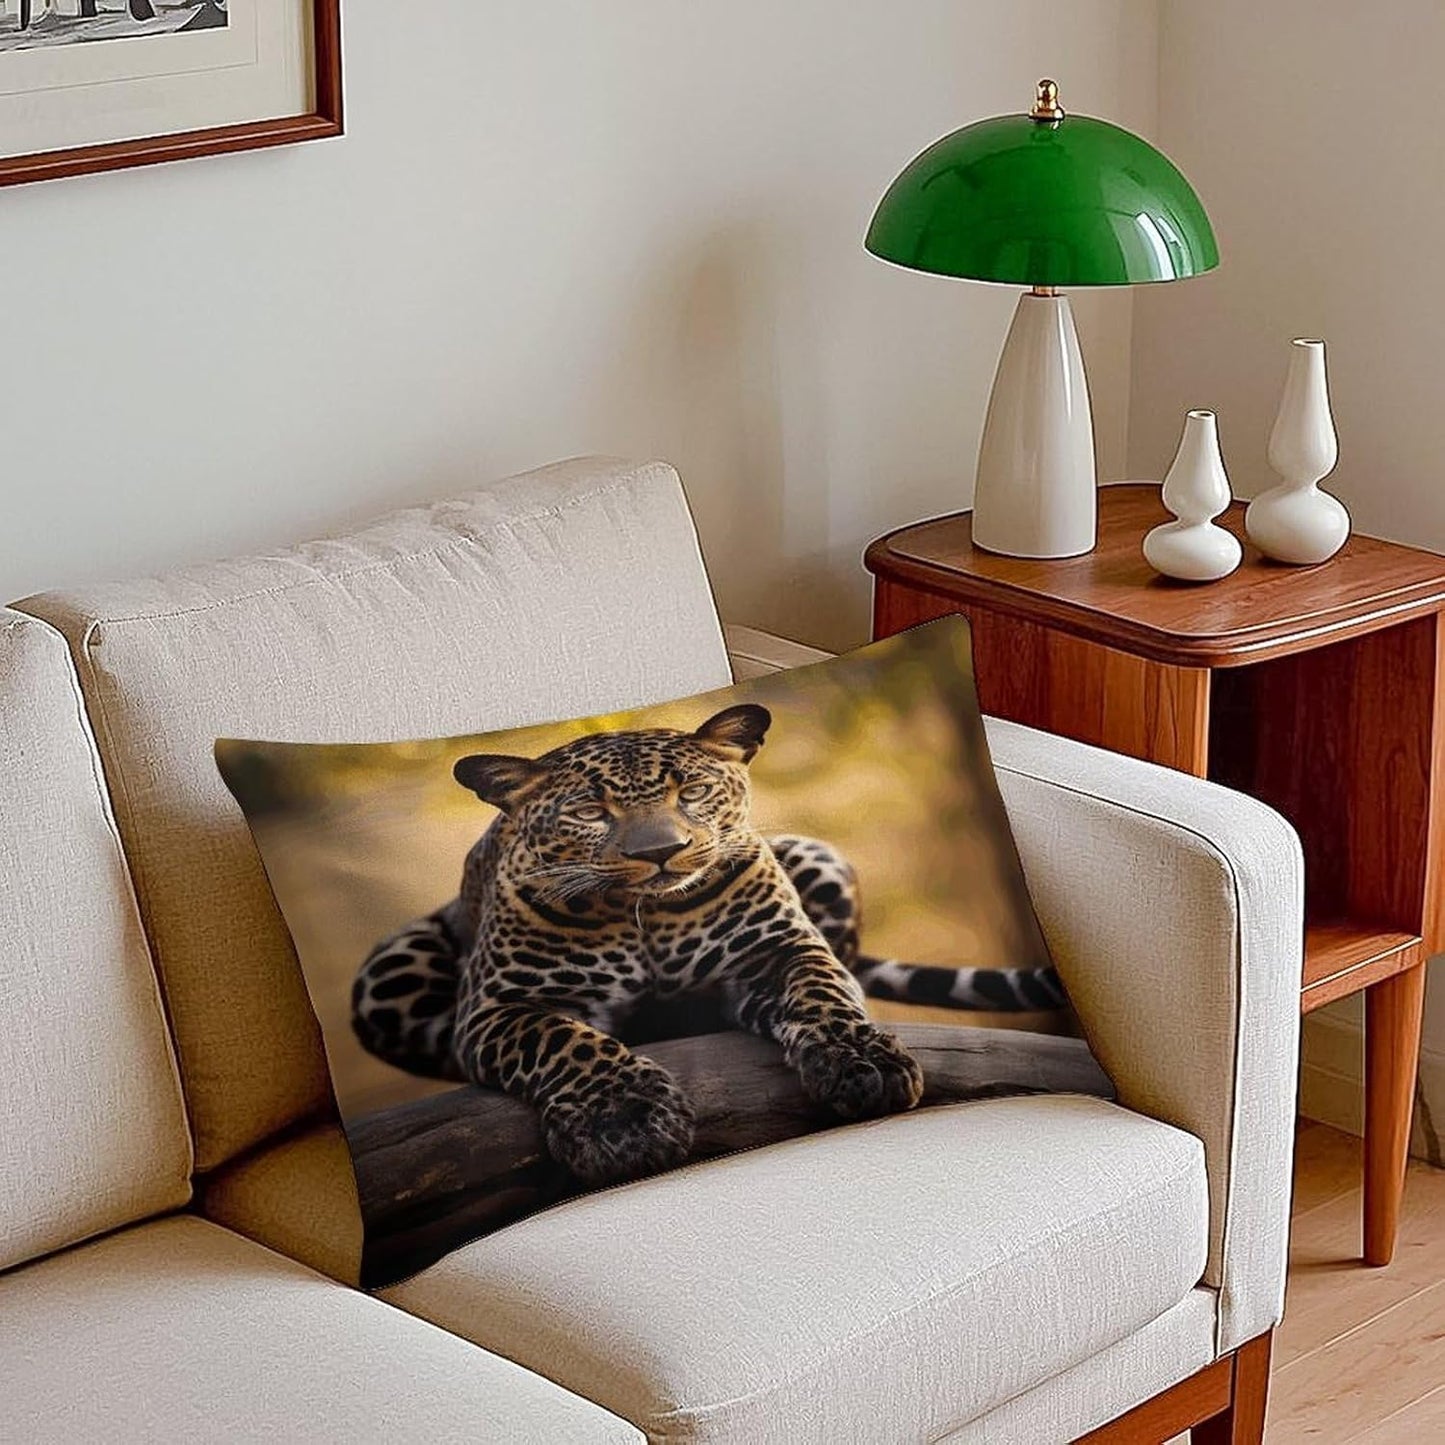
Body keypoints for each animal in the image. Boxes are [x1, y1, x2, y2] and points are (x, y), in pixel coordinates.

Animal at [351, 704, 1065, 1186]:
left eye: (692, 792)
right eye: (589, 812)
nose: (660, 853)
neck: (643, 918)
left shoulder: (777, 951)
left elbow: (823, 992)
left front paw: (864, 1061)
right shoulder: (499, 1007)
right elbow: (562, 1040)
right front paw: (626, 1119)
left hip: (819, 853)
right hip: (383, 979)